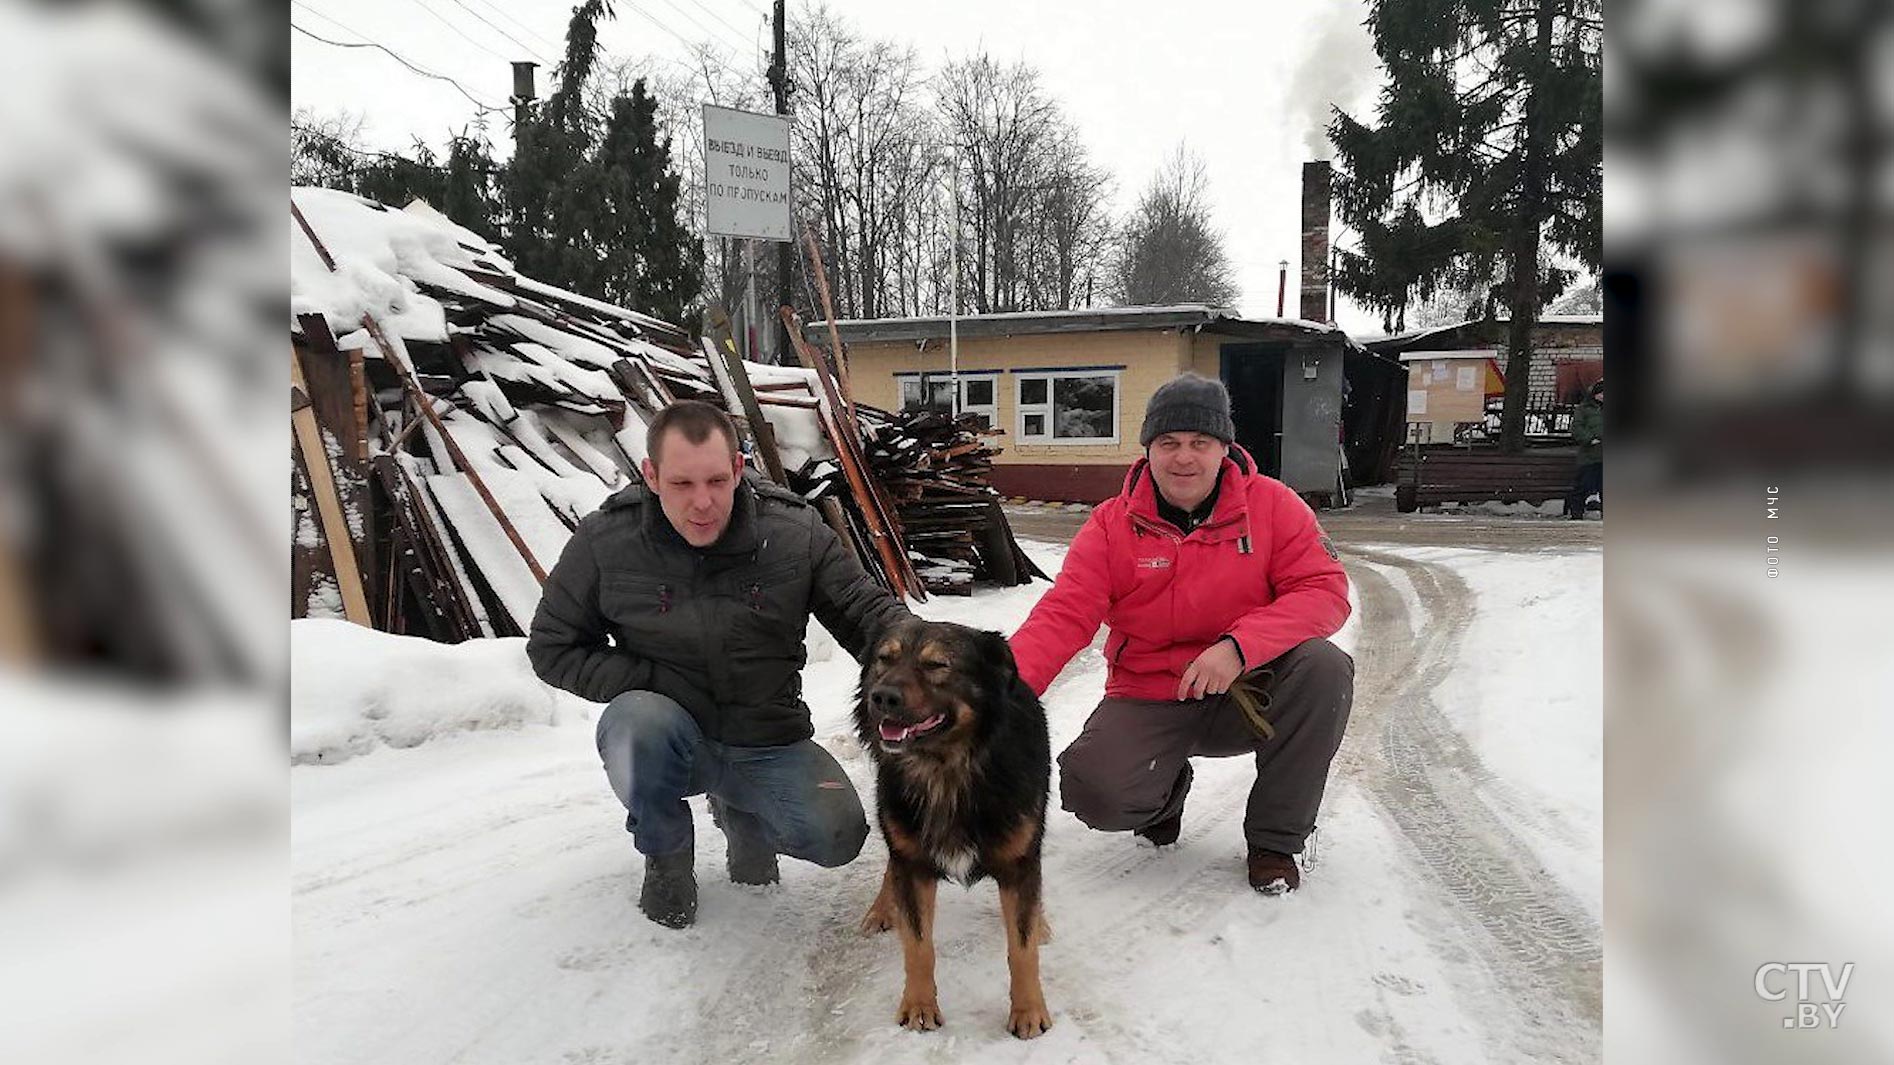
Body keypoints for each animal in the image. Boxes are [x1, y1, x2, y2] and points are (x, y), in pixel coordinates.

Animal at [856, 613, 1060, 1038]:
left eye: (937, 665)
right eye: (884, 658)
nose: (881, 698)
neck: (945, 772)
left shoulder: (1020, 864)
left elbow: (1022, 948)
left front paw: (1029, 1010)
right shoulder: (912, 864)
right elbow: (918, 946)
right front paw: (919, 1005)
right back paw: (882, 909)